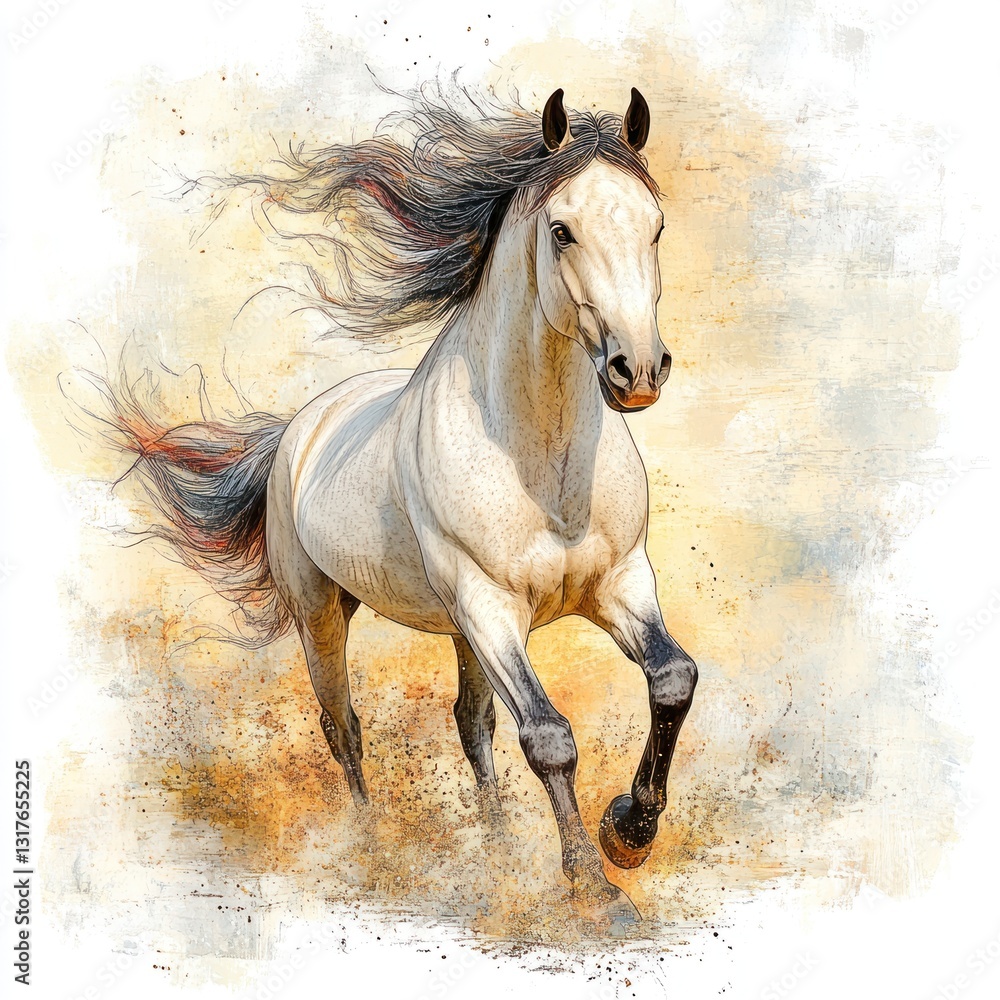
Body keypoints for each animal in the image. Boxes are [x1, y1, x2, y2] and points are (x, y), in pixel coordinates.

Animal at [93, 87, 698, 928]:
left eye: (657, 225)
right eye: (562, 229)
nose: (637, 371)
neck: (539, 462)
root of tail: (298, 429)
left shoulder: (620, 584)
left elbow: (672, 679)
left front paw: (629, 834)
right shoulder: (487, 604)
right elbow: (548, 736)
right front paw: (594, 887)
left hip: (462, 631)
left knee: (472, 725)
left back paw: (499, 853)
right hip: (324, 613)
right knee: (344, 728)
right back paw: (375, 852)